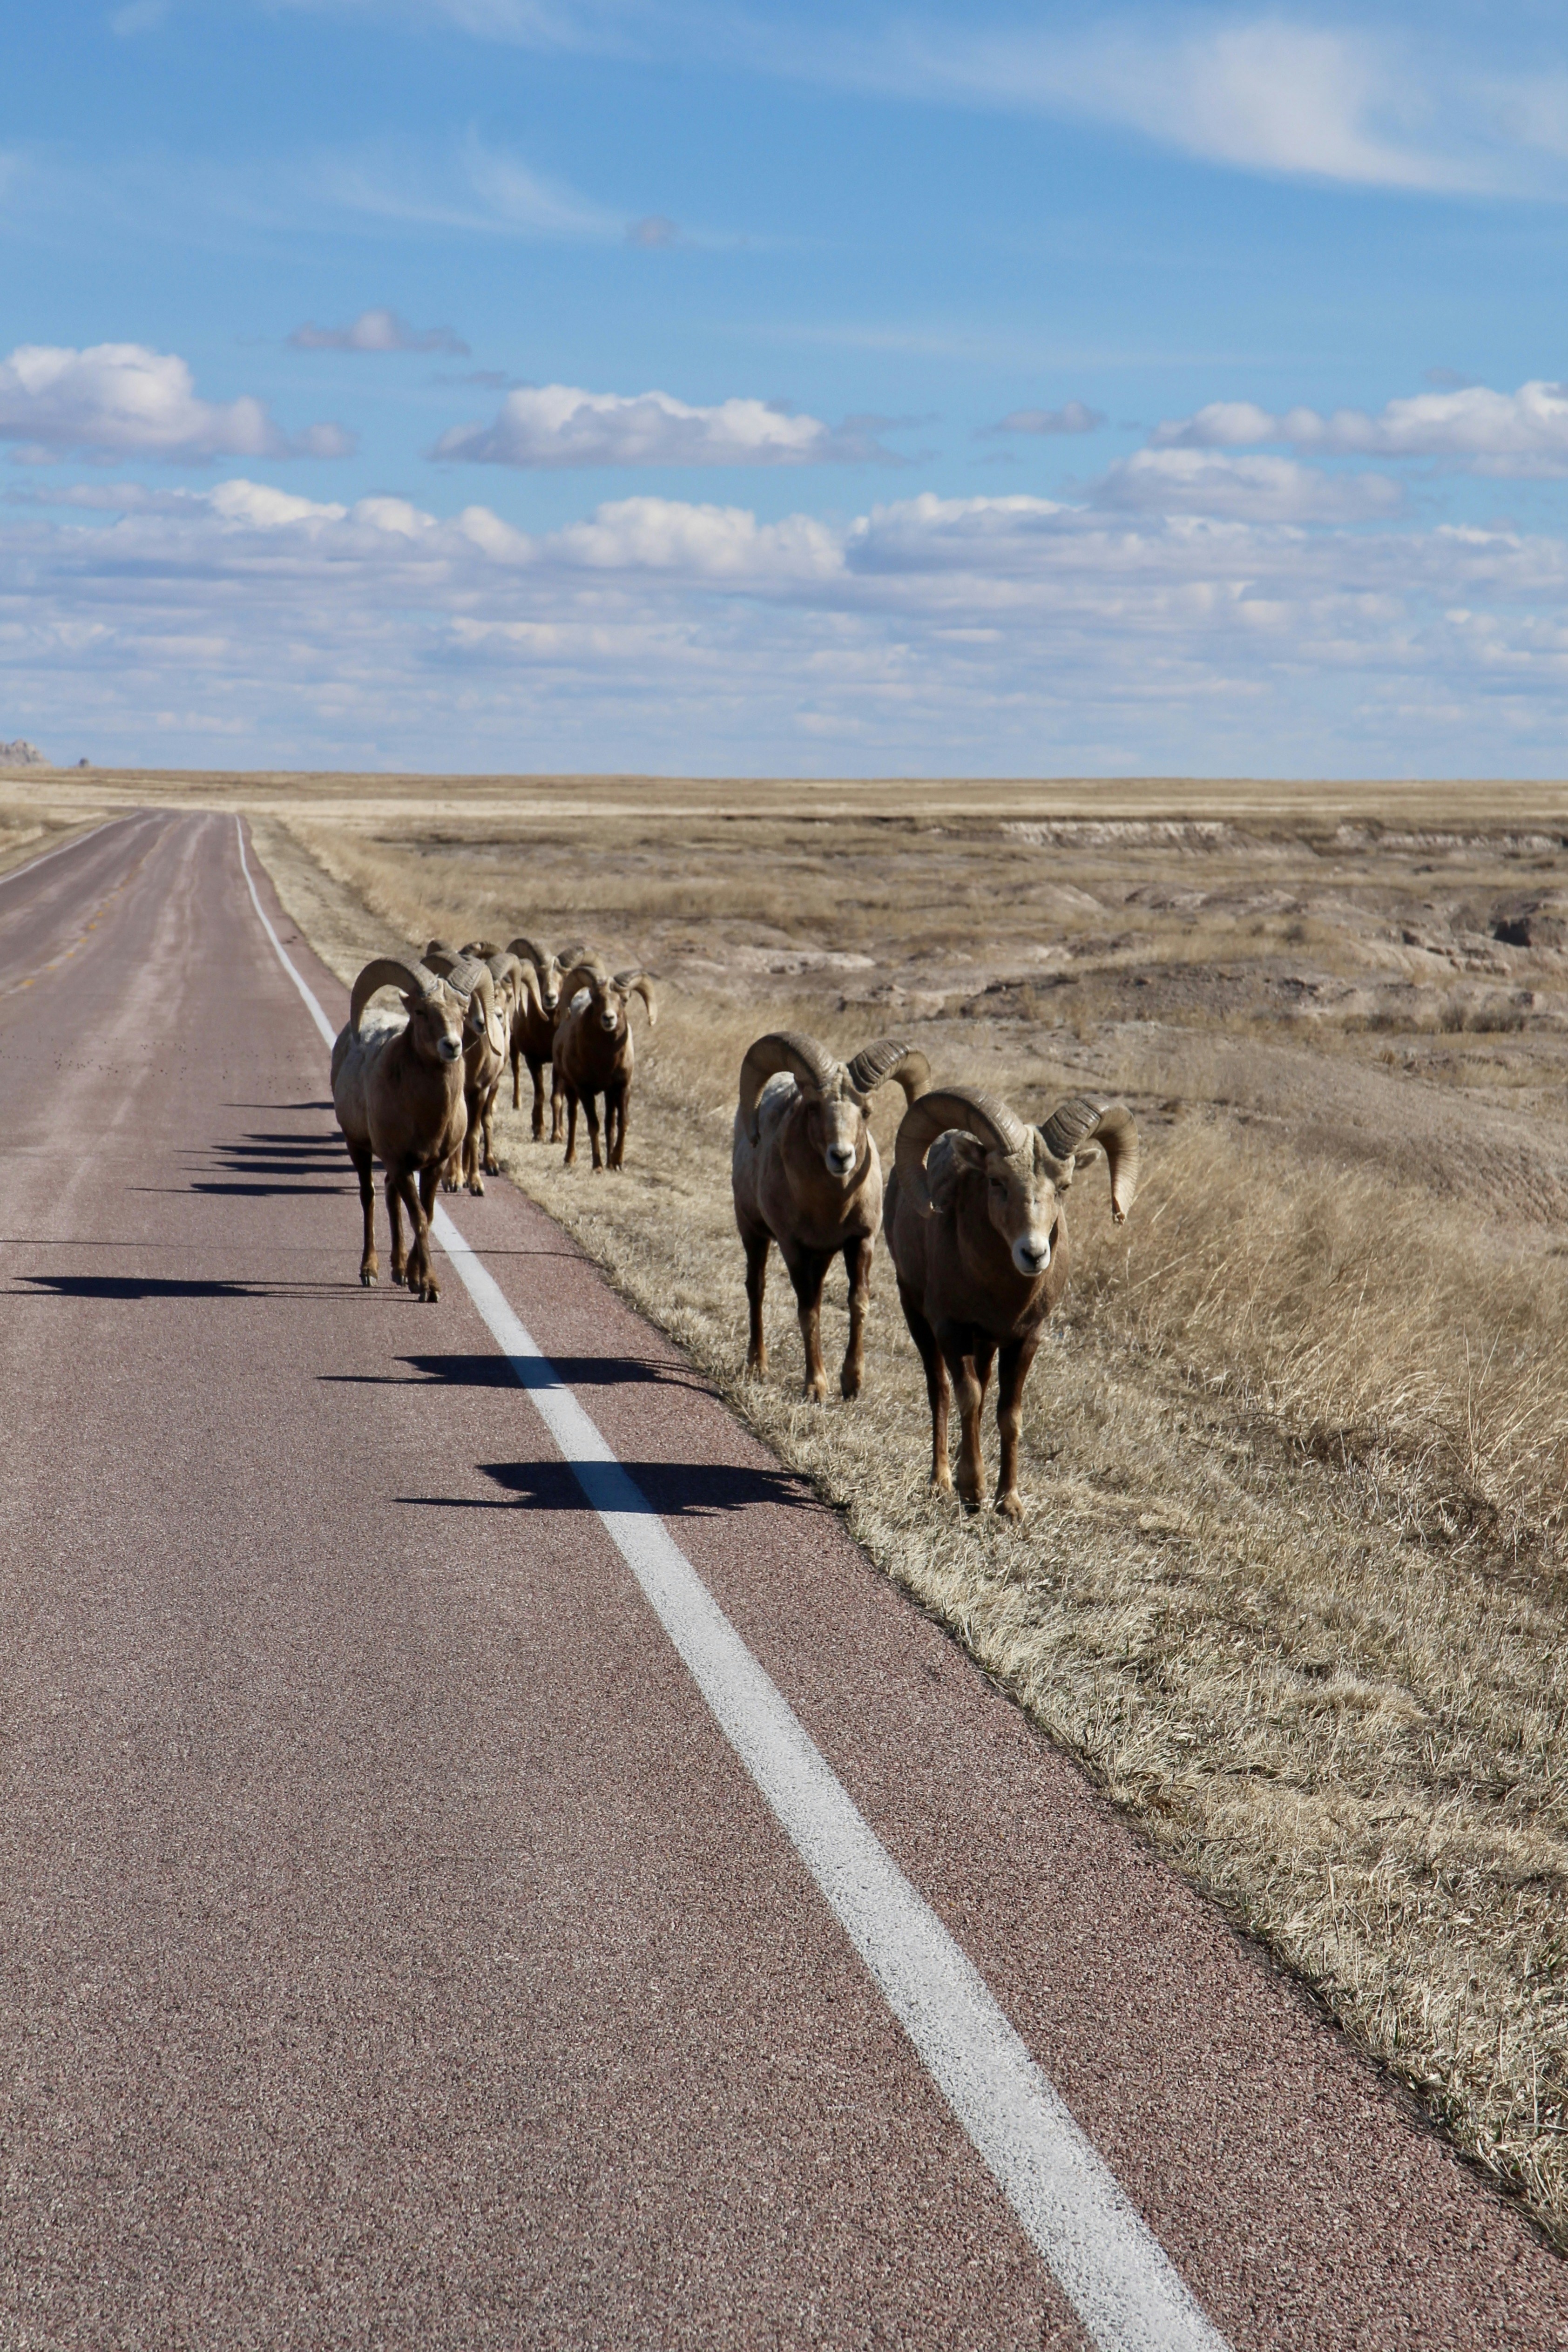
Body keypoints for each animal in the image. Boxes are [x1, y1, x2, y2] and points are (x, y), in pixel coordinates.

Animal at [330, 956, 468, 1302]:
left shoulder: (434, 1166)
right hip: (359, 1148)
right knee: (370, 1196)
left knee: (390, 1195)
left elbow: (427, 1215)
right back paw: (371, 1271)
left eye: (463, 1012)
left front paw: (417, 1279)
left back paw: (401, 1270)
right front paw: (430, 1287)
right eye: (421, 1012)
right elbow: (418, 1217)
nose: (452, 1046)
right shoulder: (401, 1164)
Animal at [551, 960, 656, 1170]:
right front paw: (598, 1166)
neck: (604, 1062)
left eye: (624, 1000)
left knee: (610, 1125)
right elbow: (594, 1126)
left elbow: (622, 1123)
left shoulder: (621, 1087)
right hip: (570, 1088)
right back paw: (570, 1159)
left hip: (608, 1095)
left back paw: (609, 1163)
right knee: (573, 1118)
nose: (609, 1018)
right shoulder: (584, 1090)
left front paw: (617, 1162)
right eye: (596, 998)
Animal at [731, 1031, 930, 1402]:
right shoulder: (793, 1247)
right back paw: (758, 1367)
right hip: (753, 1232)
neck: (831, 1208)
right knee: (757, 1288)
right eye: (813, 1107)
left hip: (821, 1258)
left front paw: (852, 1384)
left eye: (866, 1112)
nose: (841, 1157)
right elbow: (807, 1312)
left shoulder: (860, 1242)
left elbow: (858, 1304)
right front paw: (816, 1387)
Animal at [883, 1086, 1138, 1519]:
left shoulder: (1024, 1339)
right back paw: (941, 1481)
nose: (1033, 1255)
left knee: (984, 1388)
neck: (1001, 1293)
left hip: (985, 1344)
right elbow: (967, 1396)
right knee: (941, 1391)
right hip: (916, 1314)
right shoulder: (951, 1329)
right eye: (996, 1181)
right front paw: (973, 1491)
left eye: (1065, 1187)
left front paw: (1010, 1503)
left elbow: (1009, 1414)